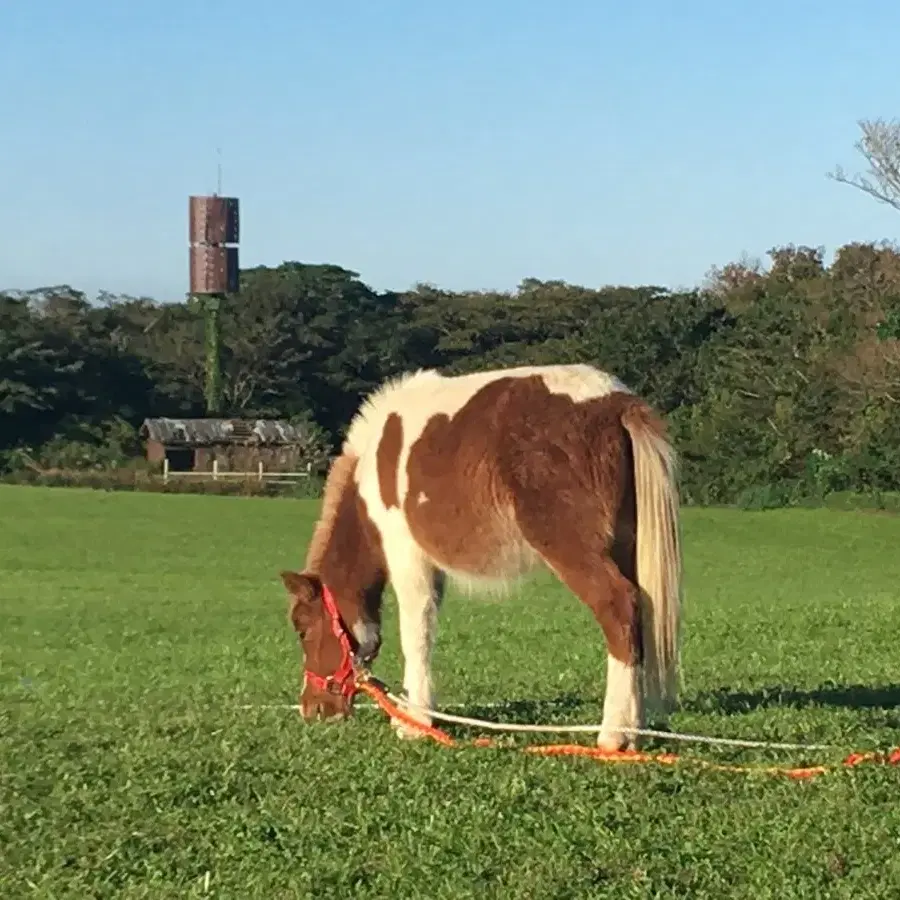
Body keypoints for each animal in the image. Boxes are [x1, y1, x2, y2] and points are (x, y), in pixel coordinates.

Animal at [282, 362, 684, 748]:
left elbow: (416, 632)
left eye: (302, 628)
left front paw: (413, 723)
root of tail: (617, 404)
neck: (371, 466)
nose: (312, 709)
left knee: (619, 608)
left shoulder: (407, 556)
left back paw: (614, 735)